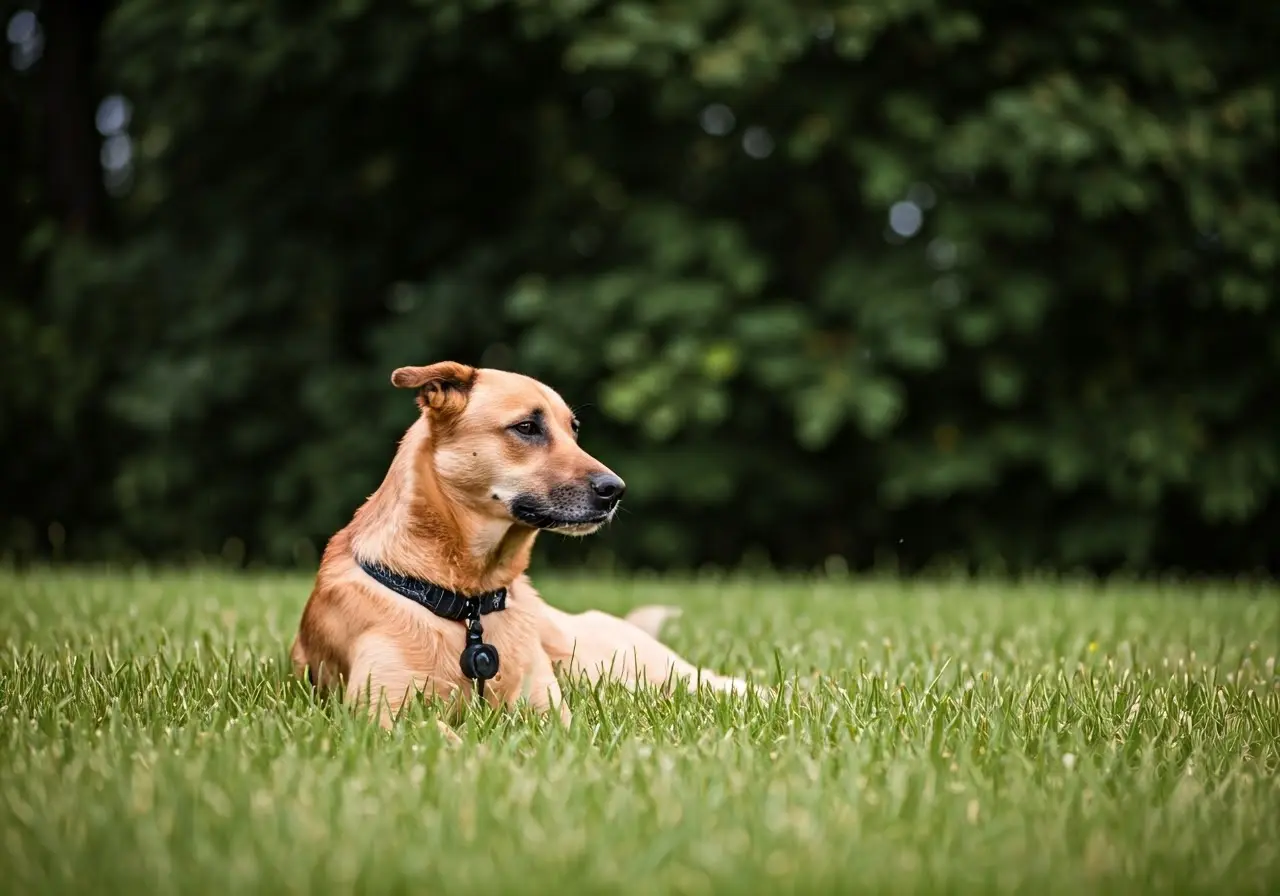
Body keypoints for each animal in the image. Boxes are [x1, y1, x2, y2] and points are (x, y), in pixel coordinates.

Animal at [293, 358, 757, 737]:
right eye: (527, 428)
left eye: (573, 430)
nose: (616, 490)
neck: (468, 601)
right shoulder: (378, 711)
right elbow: (442, 736)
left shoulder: (551, 710)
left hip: (625, 666)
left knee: (719, 682)